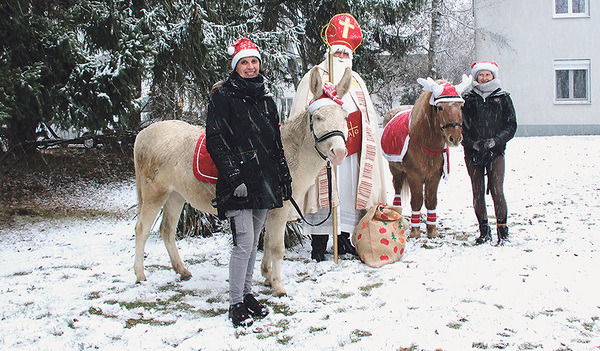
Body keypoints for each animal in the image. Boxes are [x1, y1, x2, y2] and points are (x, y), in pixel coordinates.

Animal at [134, 66, 352, 296]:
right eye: (318, 117)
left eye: (345, 116)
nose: (338, 152)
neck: (288, 153)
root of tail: (143, 134)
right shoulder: (281, 209)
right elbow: (277, 247)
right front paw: (278, 286)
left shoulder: (270, 208)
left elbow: (266, 241)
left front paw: (267, 276)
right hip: (154, 194)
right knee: (142, 229)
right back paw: (140, 275)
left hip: (175, 195)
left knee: (167, 230)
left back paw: (181, 270)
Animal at [382, 75, 472, 238]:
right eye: (440, 107)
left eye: (461, 106)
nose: (455, 138)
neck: (426, 145)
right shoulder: (414, 176)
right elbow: (417, 201)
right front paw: (415, 231)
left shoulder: (434, 176)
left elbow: (431, 201)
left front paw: (432, 230)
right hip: (396, 171)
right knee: (397, 191)